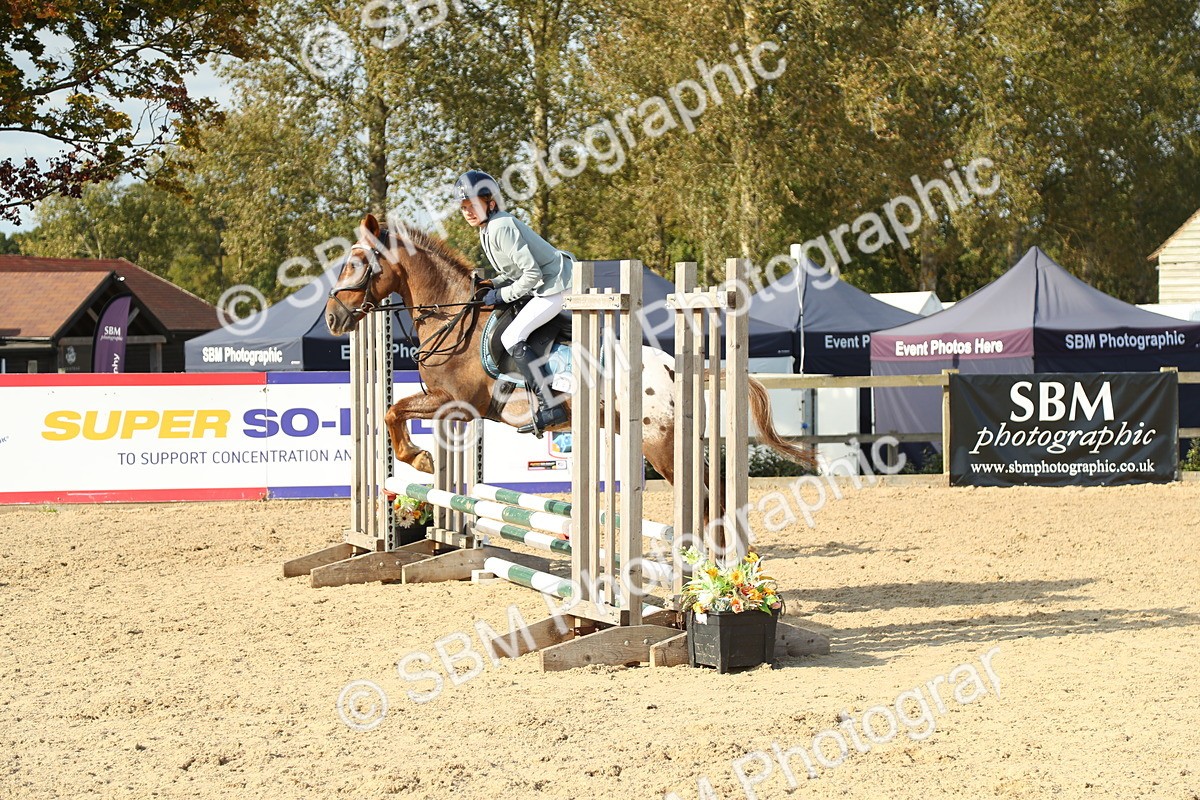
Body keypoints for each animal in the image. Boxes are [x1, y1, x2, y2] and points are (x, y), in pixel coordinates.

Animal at [325, 213, 813, 515]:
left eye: (357, 263)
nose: (332, 318)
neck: (453, 316)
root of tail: (676, 368)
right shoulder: (446, 403)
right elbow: (394, 410)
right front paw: (424, 460)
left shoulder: (459, 403)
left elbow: (393, 411)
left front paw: (420, 460)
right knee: (716, 495)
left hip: (661, 445)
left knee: (705, 499)